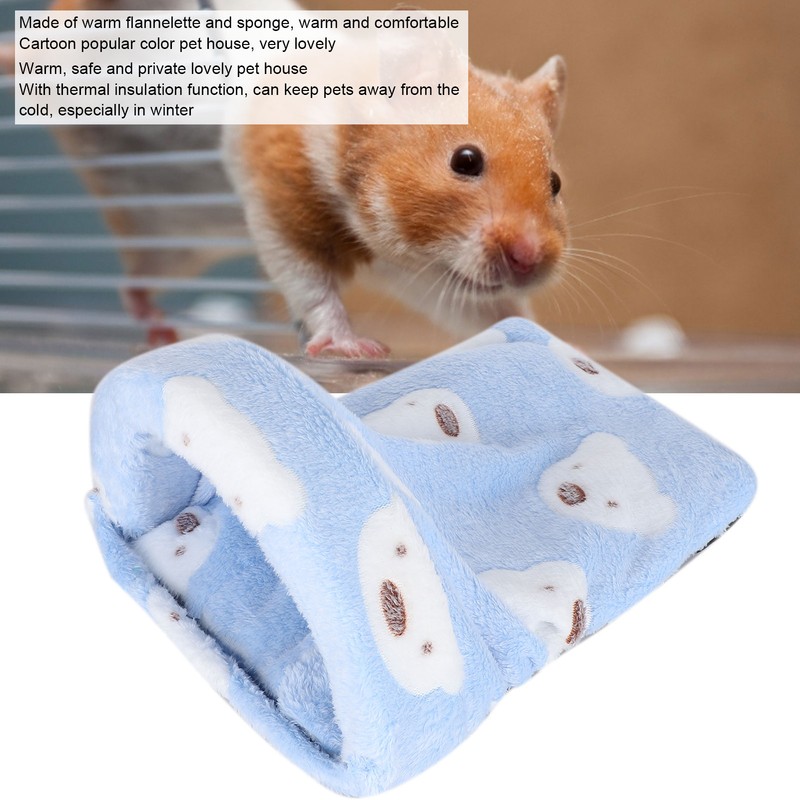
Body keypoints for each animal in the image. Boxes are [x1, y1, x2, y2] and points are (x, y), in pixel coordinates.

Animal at [224, 56, 568, 358]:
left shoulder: (426, 275)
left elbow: (492, 310)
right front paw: (360, 349)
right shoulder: (282, 210)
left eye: (555, 182)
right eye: (466, 160)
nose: (529, 259)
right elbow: (313, 288)